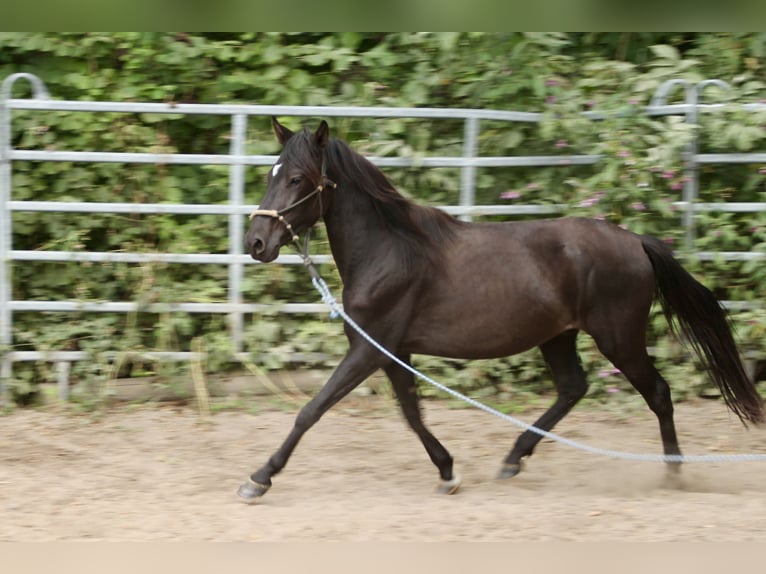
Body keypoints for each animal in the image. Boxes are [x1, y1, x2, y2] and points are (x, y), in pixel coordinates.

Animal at [238, 117, 763, 502]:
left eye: (297, 178)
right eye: (270, 173)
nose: (256, 243)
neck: (391, 250)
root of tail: (635, 241)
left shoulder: (370, 350)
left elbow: (312, 410)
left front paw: (259, 478)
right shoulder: (391, 352)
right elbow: (412, 412)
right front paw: (448, 473)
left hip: (619, 338)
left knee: (658, 393)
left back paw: (673, 474)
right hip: (558, 336)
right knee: (573, 388)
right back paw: (513, 458)